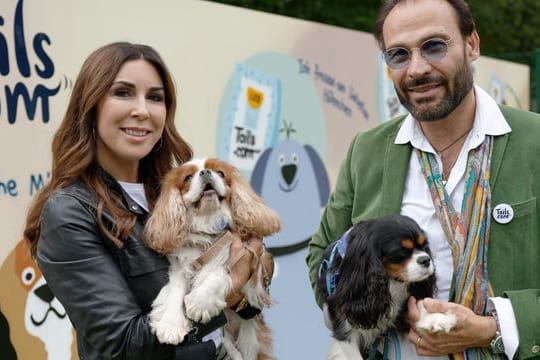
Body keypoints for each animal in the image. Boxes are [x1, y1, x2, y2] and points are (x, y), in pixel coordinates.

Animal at [143, 158, 280, 360]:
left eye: (220, 173)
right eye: (188, 177)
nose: (205, 172)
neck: (208, 222)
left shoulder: (247, 264)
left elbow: (218, 272)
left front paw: (200, 303)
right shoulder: (183, 268)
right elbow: (175, 290)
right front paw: (171, 325)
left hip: (251, 340)